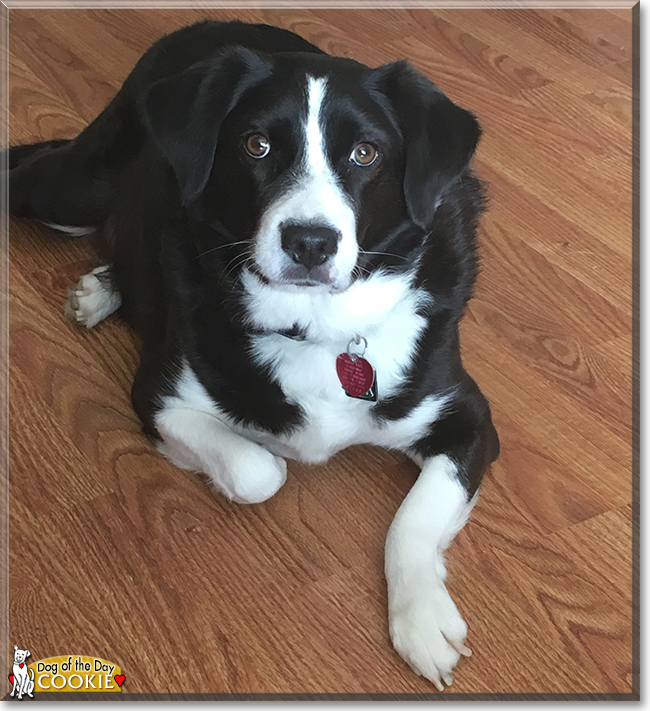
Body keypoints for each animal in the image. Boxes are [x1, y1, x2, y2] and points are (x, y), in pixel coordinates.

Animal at [6, 20, 496, 688]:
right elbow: (260, 471)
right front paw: (225, 471)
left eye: (366, 154)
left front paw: (422, 619)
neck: (318, 328)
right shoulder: (159, 395)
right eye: (256, 145)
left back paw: (104, 288)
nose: (310, 242)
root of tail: (211, 25)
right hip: (73, 190)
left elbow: (414, 519)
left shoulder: (468, 420)